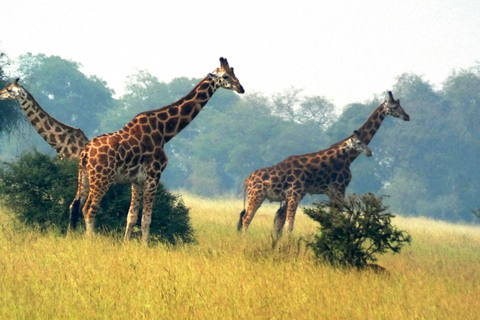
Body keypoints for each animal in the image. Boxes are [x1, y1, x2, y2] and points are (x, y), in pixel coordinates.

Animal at [68, 57, 244, 242]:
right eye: (225, 76)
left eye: (234, 72)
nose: (241, 88)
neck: (165, 132)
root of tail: (85, 153)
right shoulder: (154, 176)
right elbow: (146, 219)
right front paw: (144, 245)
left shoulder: (137, 181)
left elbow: (131, 217)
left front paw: (125, 244)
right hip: (102, 178)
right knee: (89, 209)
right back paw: (90, 240)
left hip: (84, 175)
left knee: (74, 205)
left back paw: (70, 237)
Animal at [239, 130, 372, 235]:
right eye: (359, 143)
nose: (370, 152)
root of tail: (247, 179)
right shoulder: (295, 194)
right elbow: (289, 225)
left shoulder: (296, 195)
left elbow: (286, 223)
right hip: (256, 195)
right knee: (246, 218)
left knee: (247, 217)